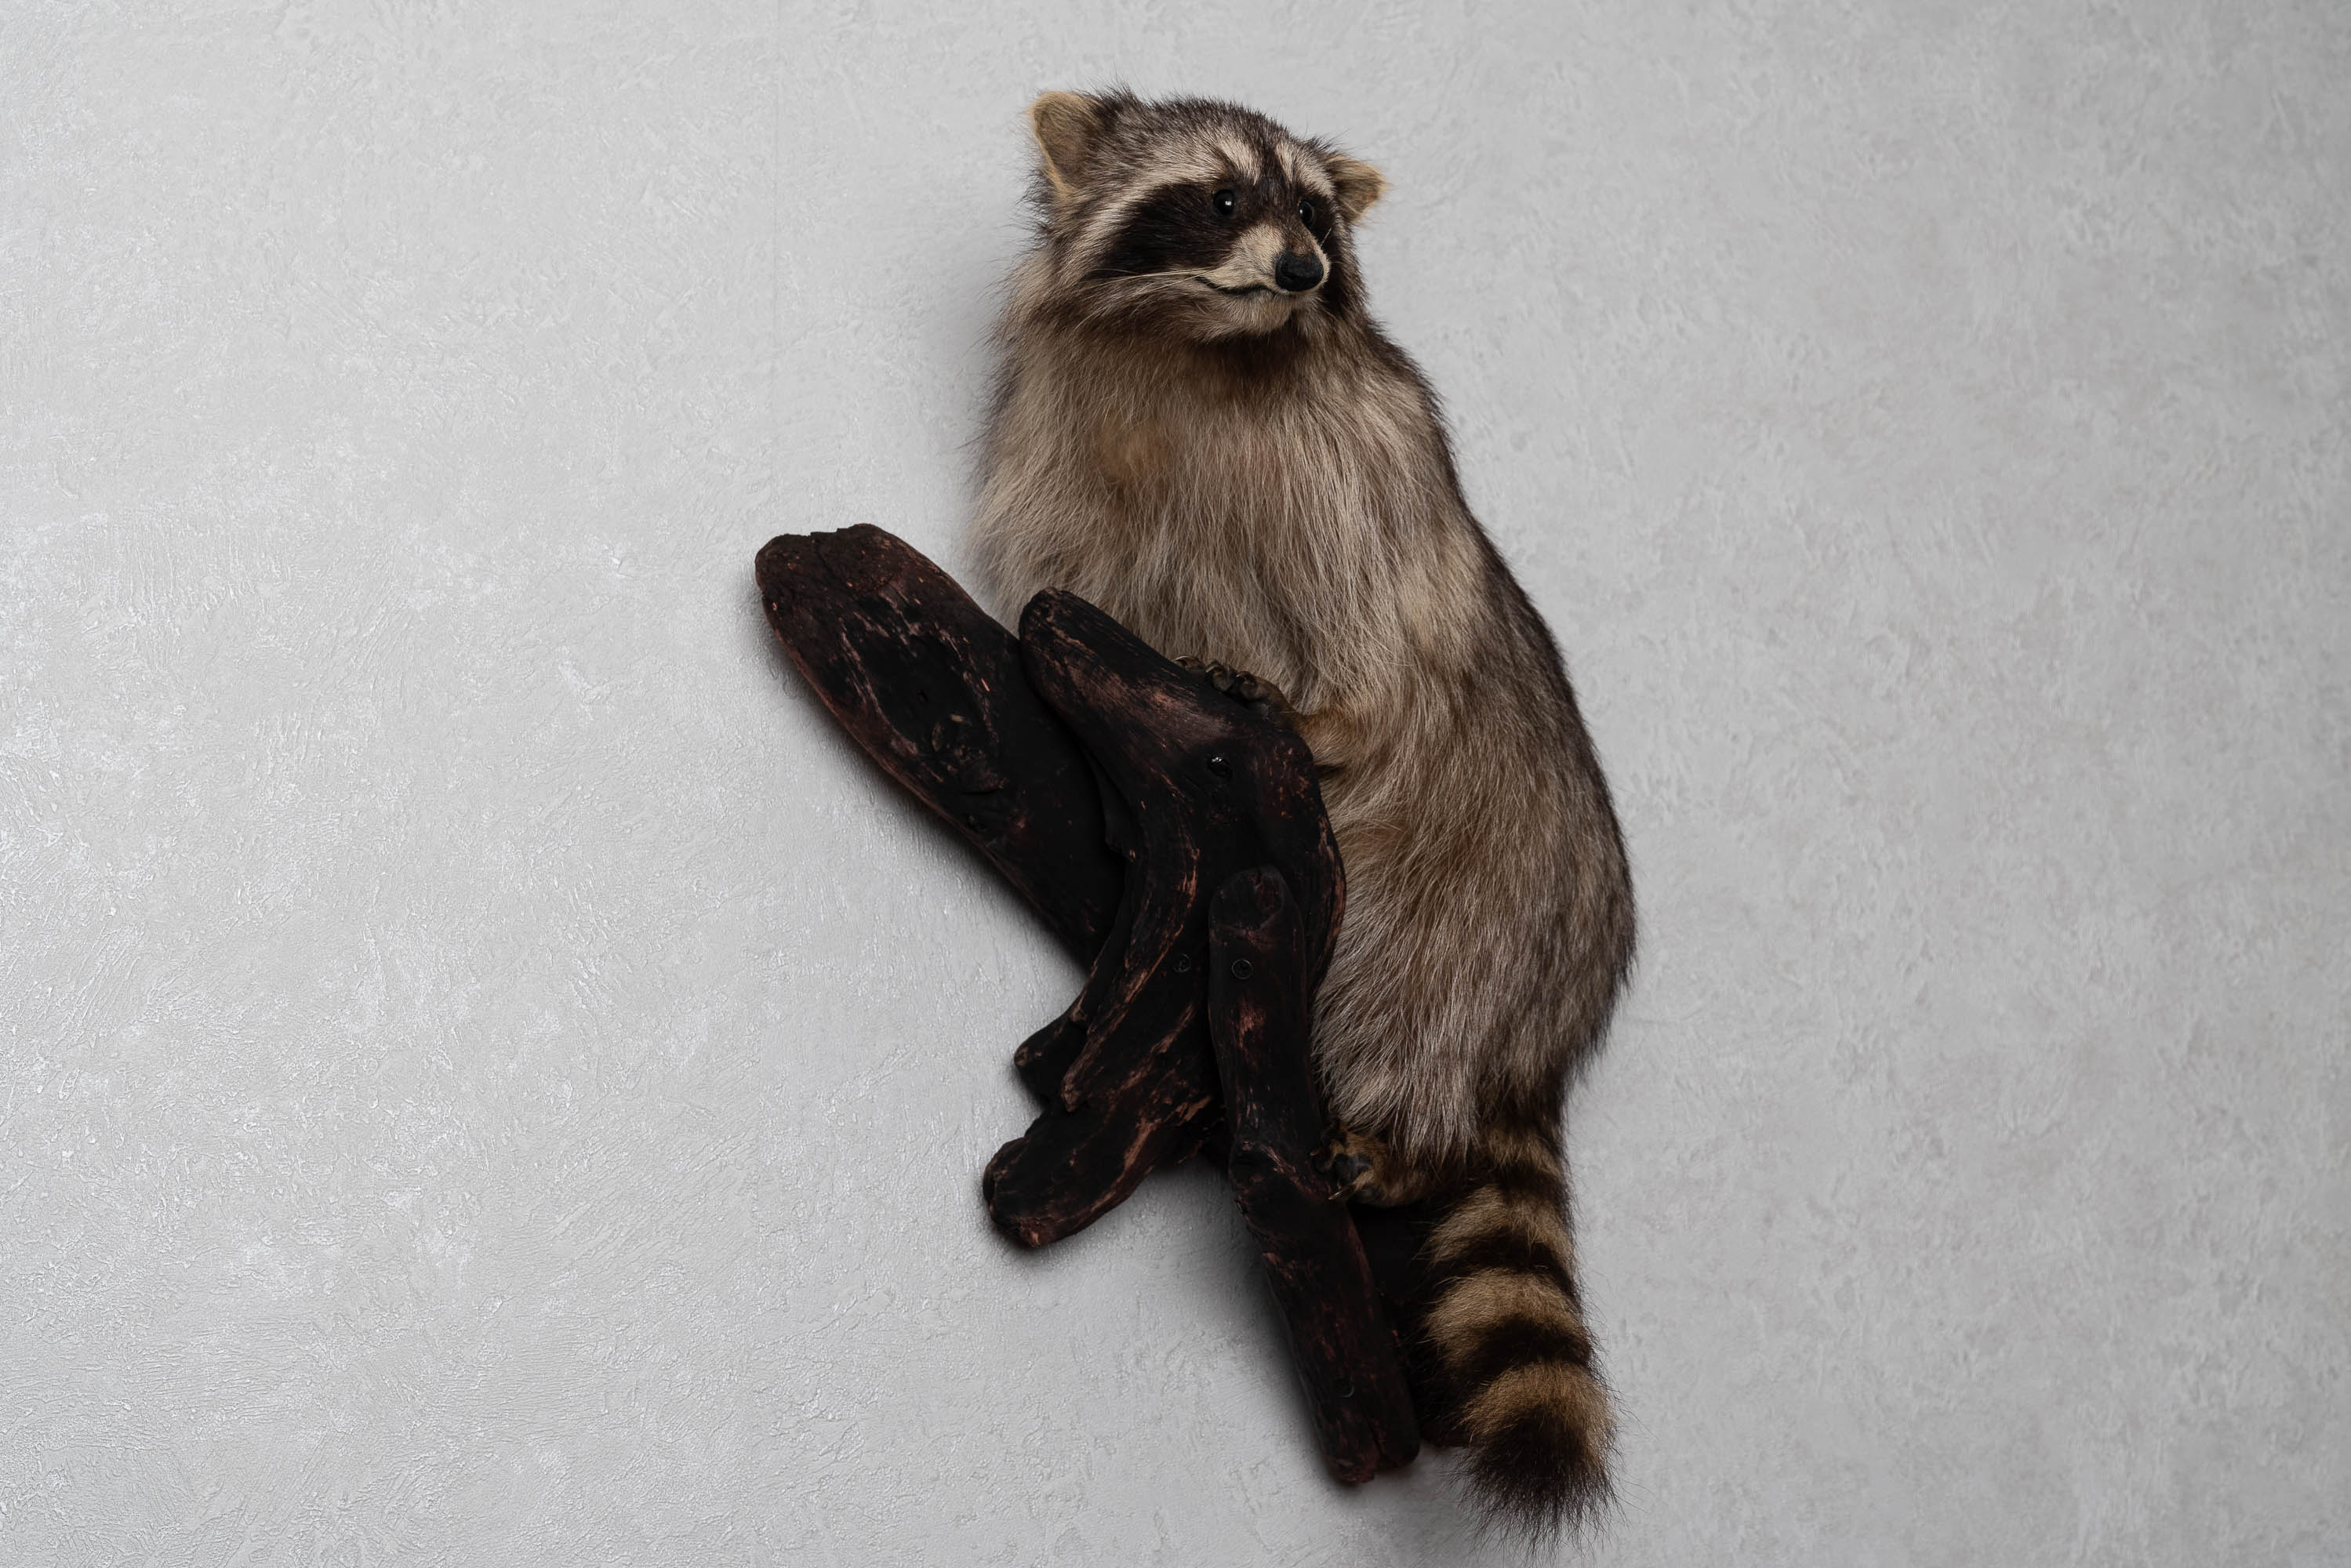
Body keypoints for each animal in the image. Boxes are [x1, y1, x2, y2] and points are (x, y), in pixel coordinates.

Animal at [974, 90, 1636, 1534]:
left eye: (1316, 212)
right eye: (1223, 198)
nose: (1301, 268)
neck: (1202, 343)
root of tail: (1546, 1019)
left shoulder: (1370, 451)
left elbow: (1385, 607)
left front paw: (1316, 711)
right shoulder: (1061, 439)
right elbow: (1069, 564)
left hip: (1477, 900)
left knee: (1409, 1004)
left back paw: (1410, 1139)